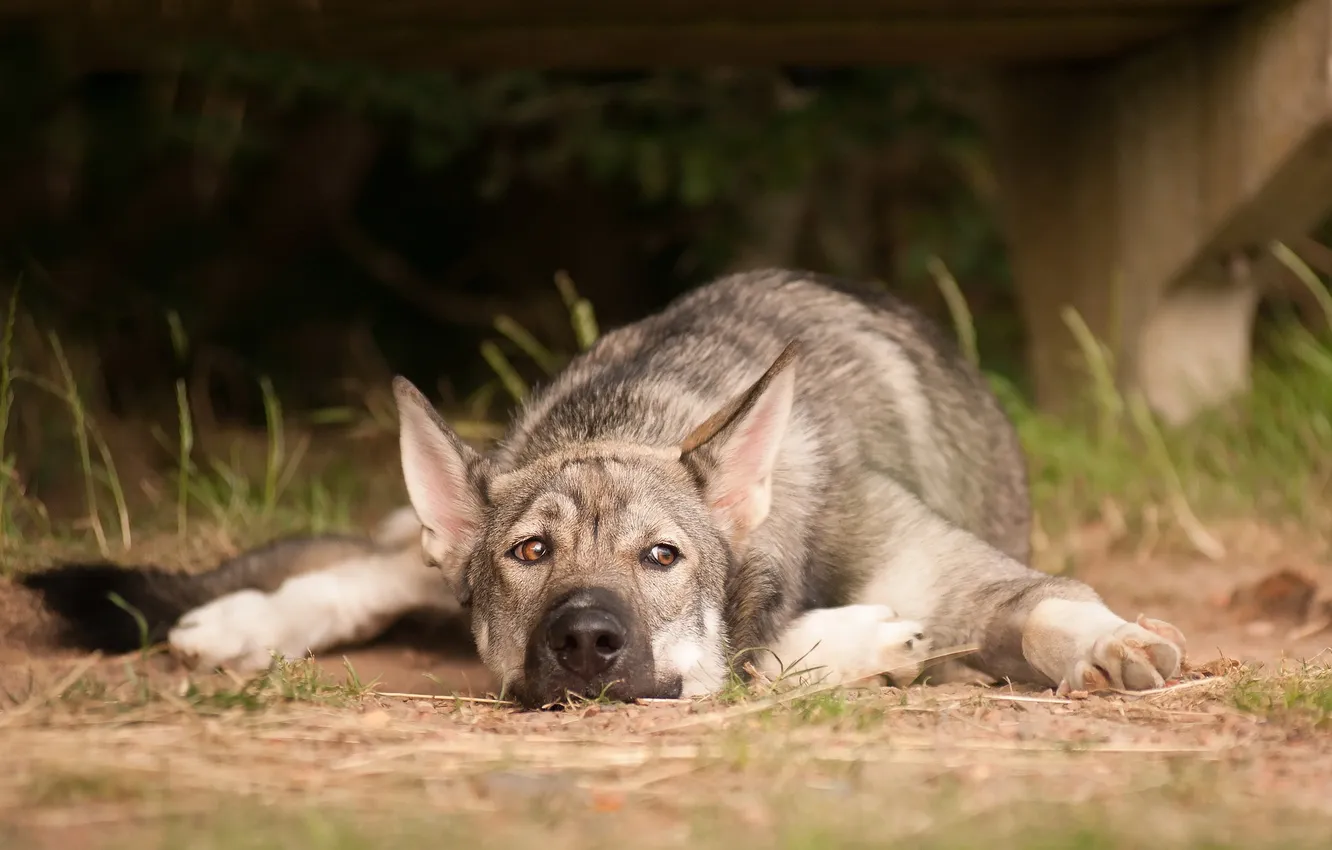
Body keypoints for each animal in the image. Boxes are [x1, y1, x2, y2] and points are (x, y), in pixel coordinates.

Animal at [20, 269, 1188, 708]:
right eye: (529, 554)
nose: (585, 639)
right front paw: (856, 641)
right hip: (431, 536)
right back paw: (239, 623)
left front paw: (1112, 641)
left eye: (662, 557)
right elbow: (754, 655)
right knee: (366, 571)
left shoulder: (978, 583)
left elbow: (1050, 605)